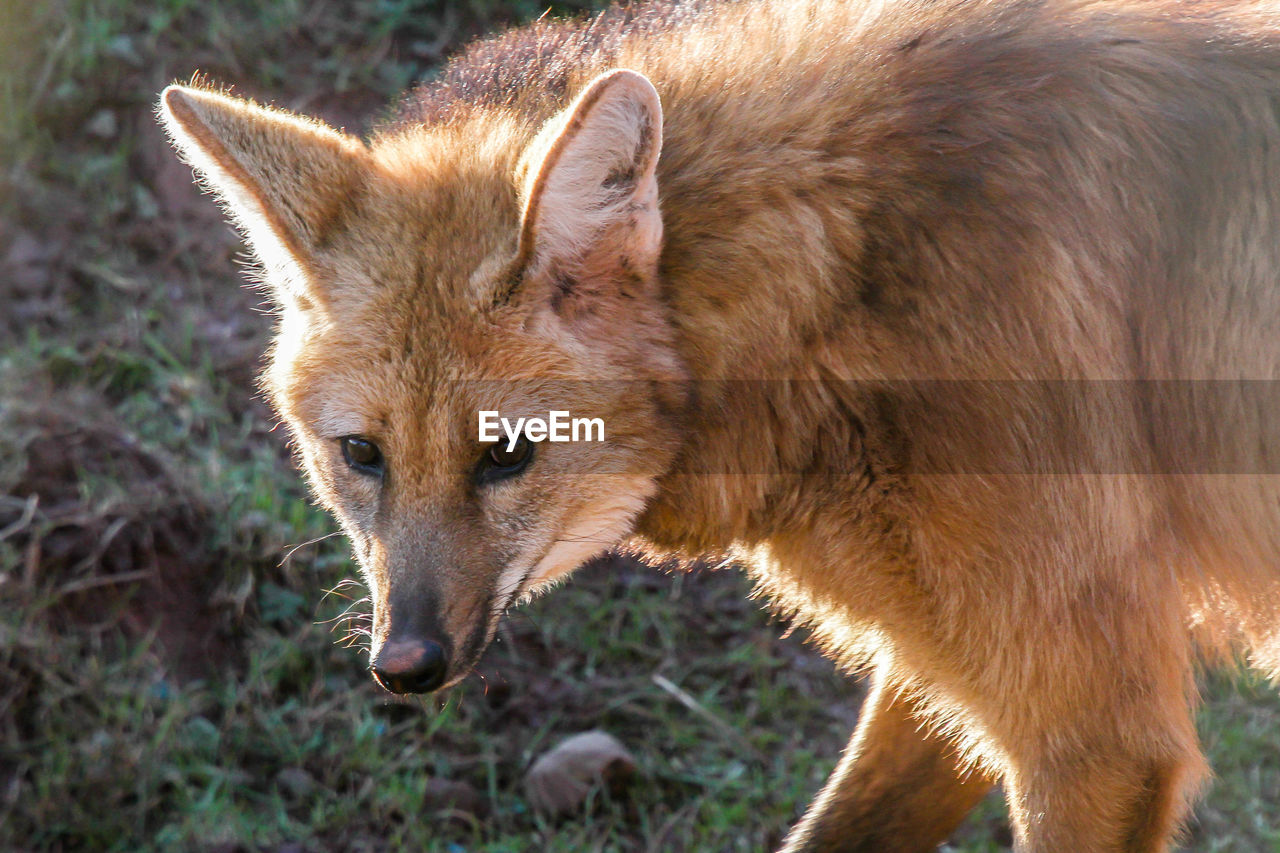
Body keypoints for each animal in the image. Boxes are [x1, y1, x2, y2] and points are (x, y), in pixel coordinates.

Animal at [160, 0, 1280, 845]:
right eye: (361, 455)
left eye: (506, 455)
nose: (404, 665)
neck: (841, 283)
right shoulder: (953, 675)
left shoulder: (1097, 735)